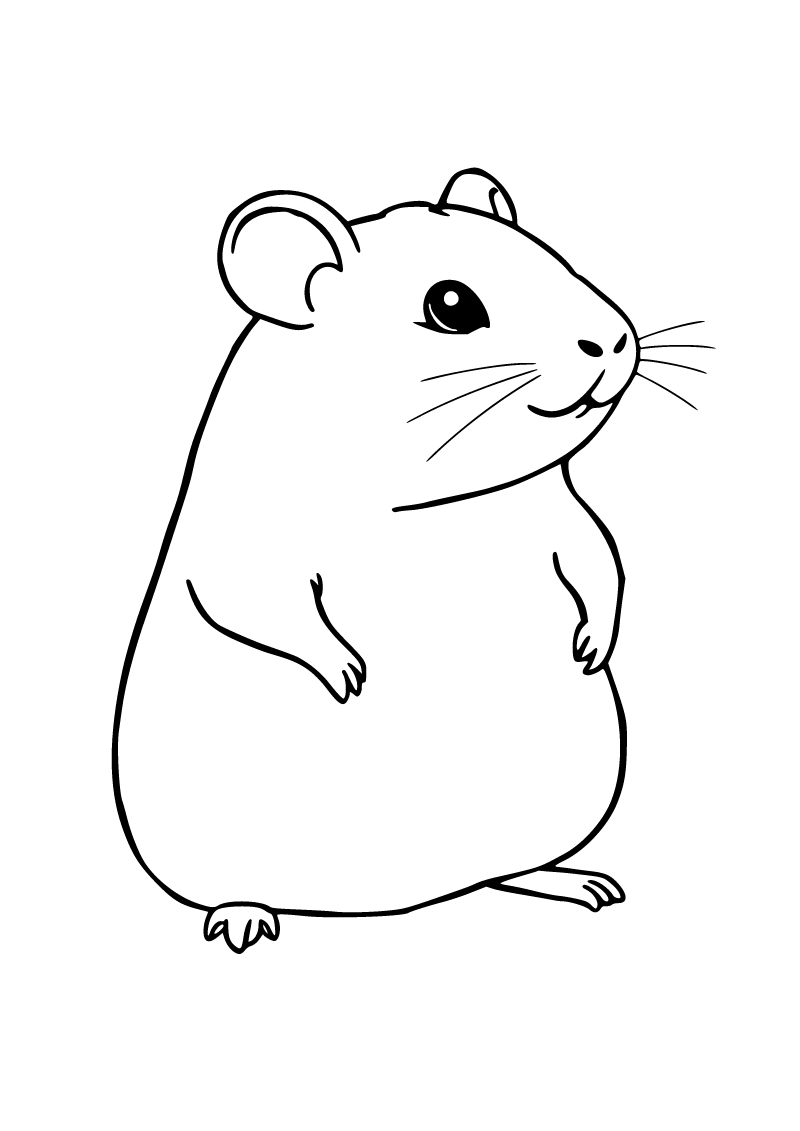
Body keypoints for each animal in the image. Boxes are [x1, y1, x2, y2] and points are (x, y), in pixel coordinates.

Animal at [113, 169, 637, 952]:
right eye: (451, 304)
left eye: (553, 256)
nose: (611, 340)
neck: (438, 501)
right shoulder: (250, 532)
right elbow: (254, 598)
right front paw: (347, 674)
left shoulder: (561, 516)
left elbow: (601, 561)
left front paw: (592, 647)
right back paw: (243, 918)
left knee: (507, 872)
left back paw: (574, 882)